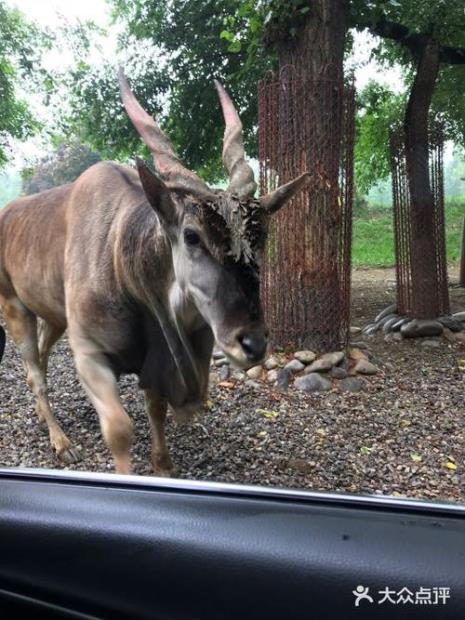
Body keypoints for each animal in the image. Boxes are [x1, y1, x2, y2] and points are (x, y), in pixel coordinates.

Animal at [0, 72, 308, 478]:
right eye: (192, 236)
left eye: (262, 238)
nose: (253, 343)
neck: (121, 254)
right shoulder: (89, 355)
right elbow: (119, 429)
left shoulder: (155, 358)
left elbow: (156, 409)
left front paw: (163, 466)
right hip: (14, 306)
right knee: (34, 372)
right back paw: (61, 441)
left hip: (53, 317)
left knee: (42, 358)